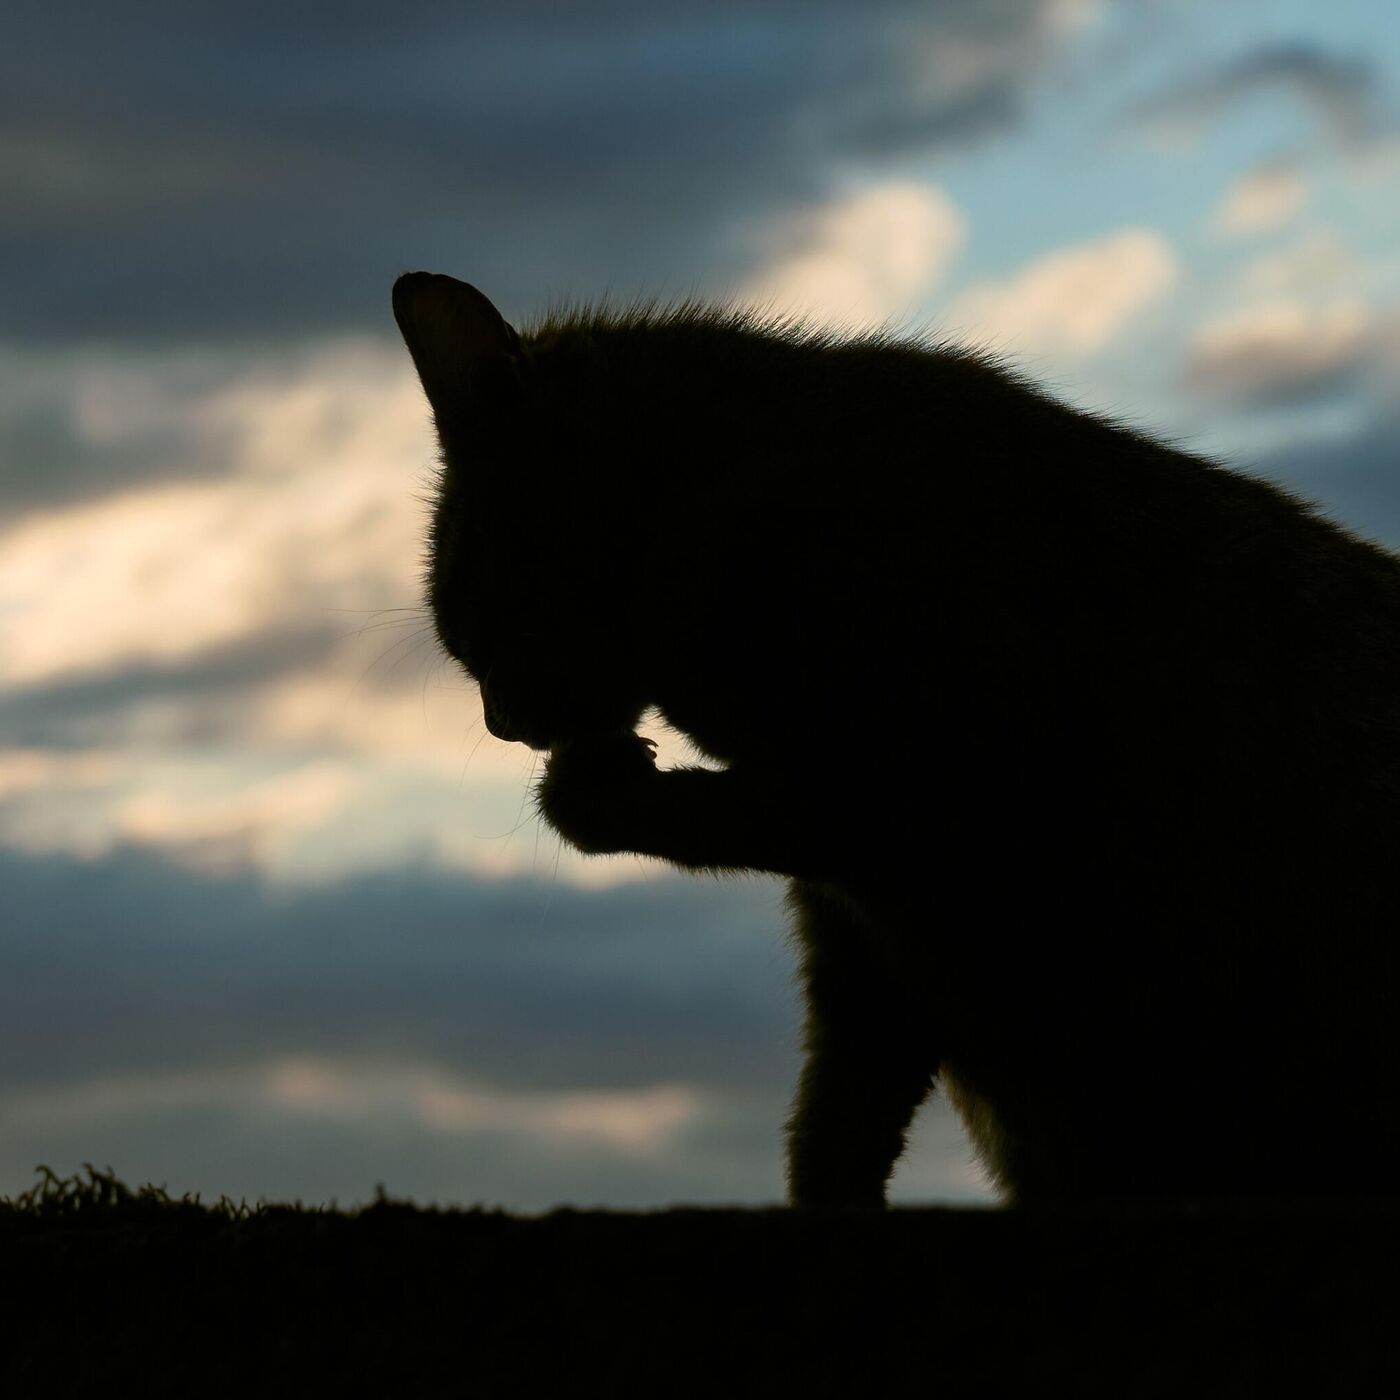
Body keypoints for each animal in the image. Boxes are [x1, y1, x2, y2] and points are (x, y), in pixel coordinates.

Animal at [392, 270, 1400, 1204]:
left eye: (473, 624)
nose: (500, 723)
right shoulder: (863, 931)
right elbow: (837, 1117)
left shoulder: (915, 800)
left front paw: (589, 792)